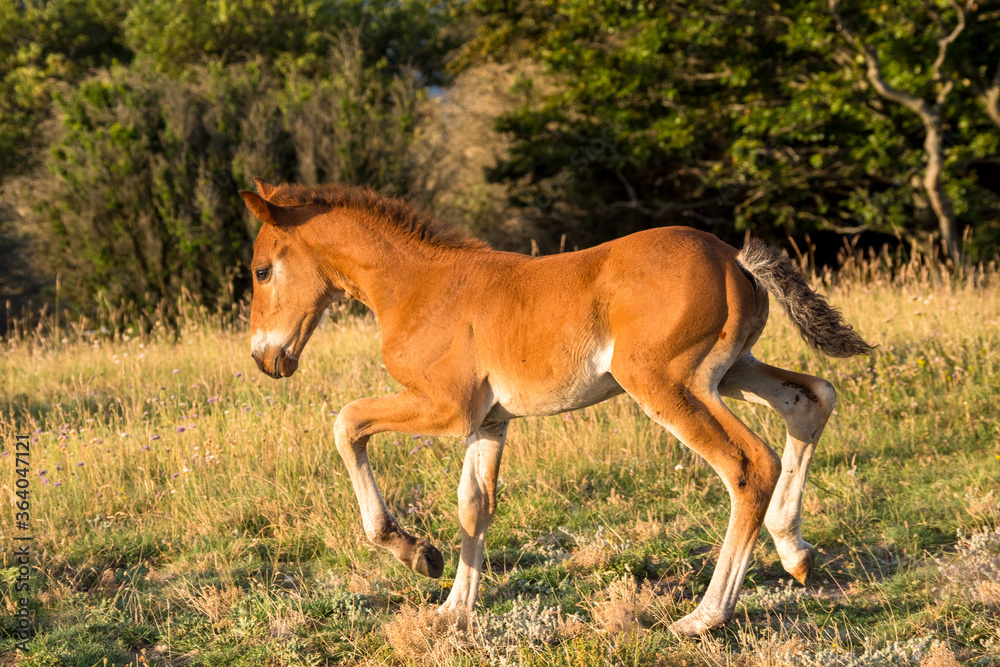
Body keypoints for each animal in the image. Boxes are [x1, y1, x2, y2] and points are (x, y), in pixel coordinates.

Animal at [239, 177, 872, 635]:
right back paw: (795, 553)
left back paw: (703, 617)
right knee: (811, 398)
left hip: (666, 382)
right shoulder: (490, 421)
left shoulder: (448, 408)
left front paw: (413, 550)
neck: (418, 287)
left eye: (262, 270)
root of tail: (734, 258)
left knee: (747, 464)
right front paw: (454, 611)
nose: (266, 359)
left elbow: (347, 423)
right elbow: (475, 505)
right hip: (730, 369)